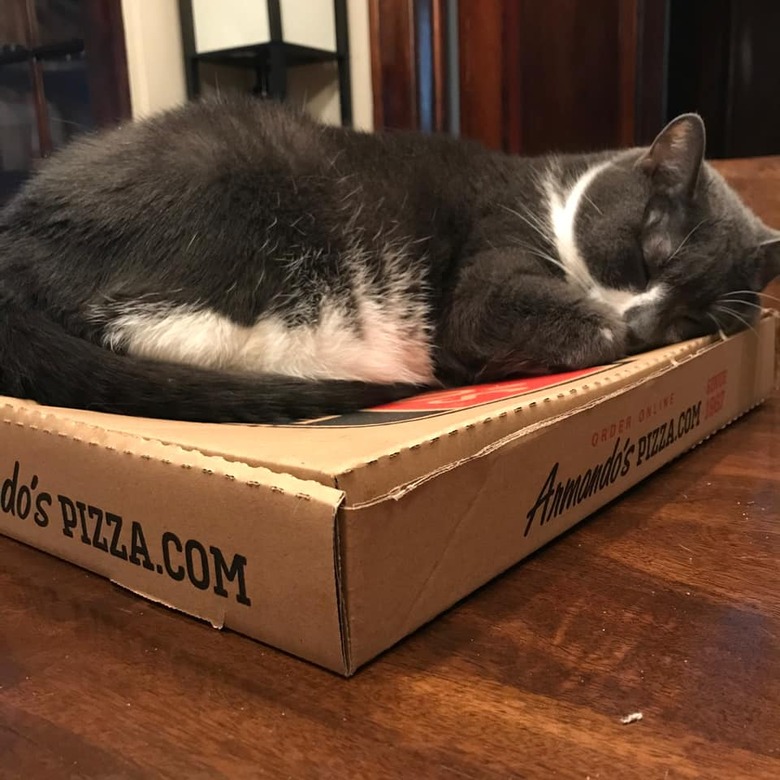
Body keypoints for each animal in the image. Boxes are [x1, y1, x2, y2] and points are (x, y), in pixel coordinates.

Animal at [0, 96, 776, 426]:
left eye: (694, 321)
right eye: (647, 256)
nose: (647, 327)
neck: (554, 198)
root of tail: (15, 237)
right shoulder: (484, 272)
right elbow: (496, 315)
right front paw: (606, 328)